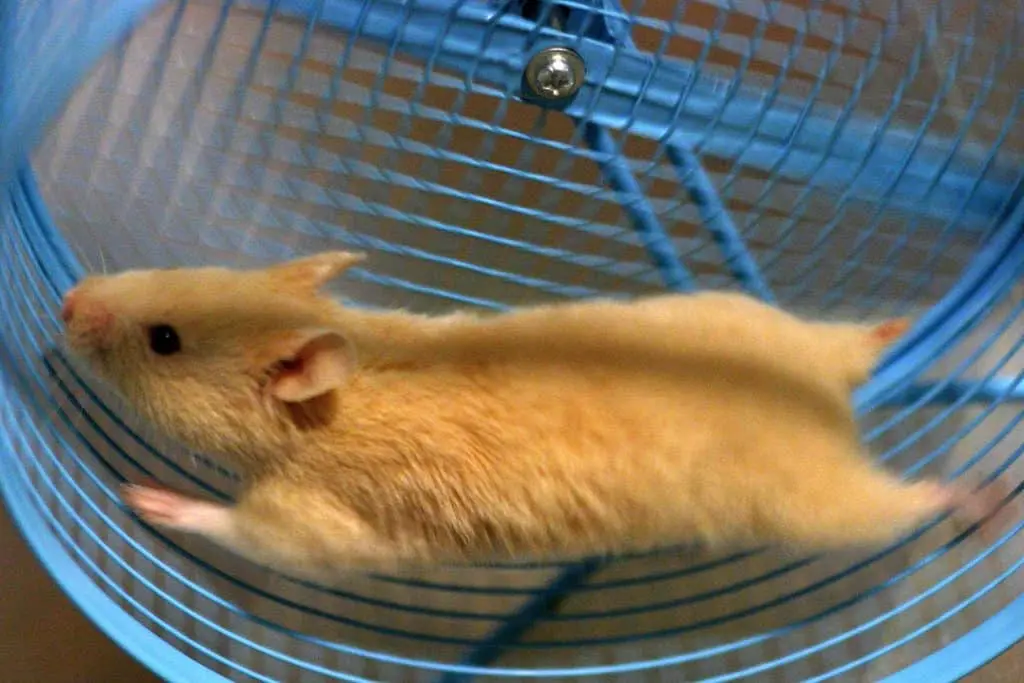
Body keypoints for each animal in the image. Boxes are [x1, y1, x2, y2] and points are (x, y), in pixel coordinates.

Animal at [60, 251, 1006, 580]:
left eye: (165, 340)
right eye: (185, 271)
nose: (66, 301)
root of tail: (832, 403)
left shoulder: (317, 517)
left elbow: (244, 527)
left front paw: (149, 497)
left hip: (814, 504)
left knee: (903, 501)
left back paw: (980, 498)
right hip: (759, 319)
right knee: (852, 338)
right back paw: (900, 323)